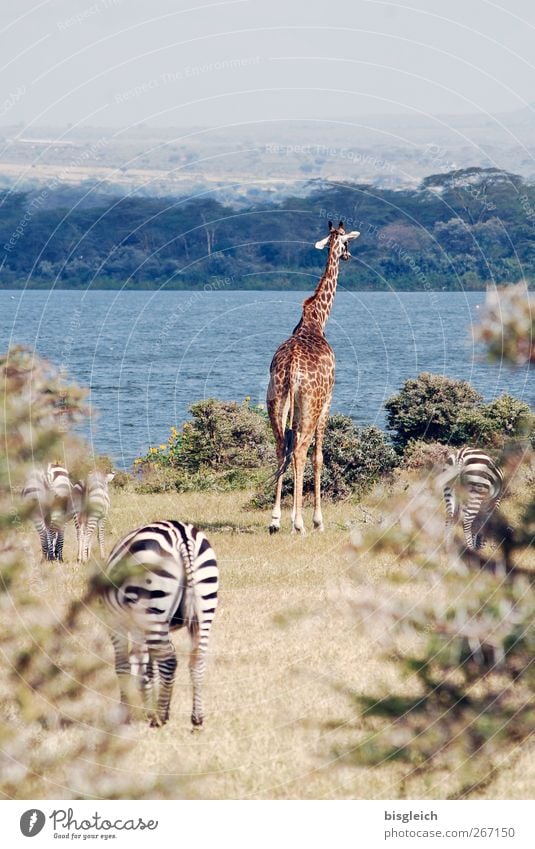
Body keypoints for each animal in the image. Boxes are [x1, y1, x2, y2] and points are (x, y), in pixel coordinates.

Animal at [101, 520, 219, 724]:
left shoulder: (116, 623)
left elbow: (124, 667)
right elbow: (148, 669)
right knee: (197, 660)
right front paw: (148, 707)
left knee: (169, 662)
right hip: (205, 605)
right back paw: (196, 718)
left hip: (153, 606)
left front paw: (126, 712)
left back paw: (161, 718)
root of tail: (182, 536)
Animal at [266, 222, 360, 532]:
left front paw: (281, 517)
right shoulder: (329, 400)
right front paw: (318, 519)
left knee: (281, 446)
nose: (349, 255)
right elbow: (319, 456)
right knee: (300, 450)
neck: (316, 320)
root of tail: (292, 368)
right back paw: (300, 524)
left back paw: (275, 520)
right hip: (311, 404)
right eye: (346, 241)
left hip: (276, 401)